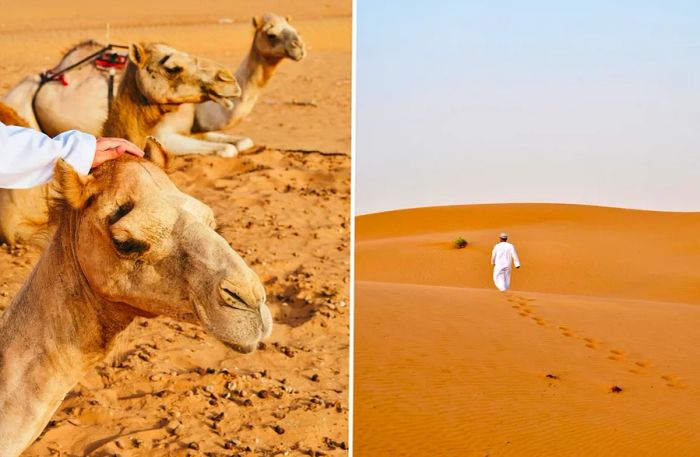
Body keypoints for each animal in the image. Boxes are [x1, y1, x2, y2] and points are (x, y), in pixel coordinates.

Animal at [2, 13, 306, 158]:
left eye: (295, 30)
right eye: (271, 33)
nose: (227, 79)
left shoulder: (193, 129)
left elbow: (242, 142)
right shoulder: (166, 135)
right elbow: (228, 150)